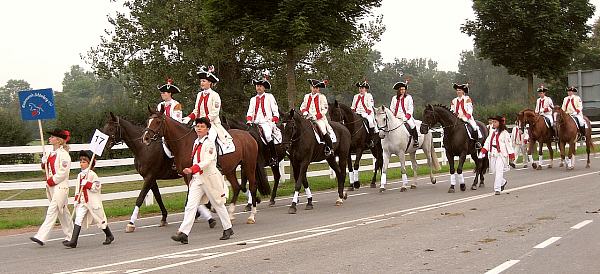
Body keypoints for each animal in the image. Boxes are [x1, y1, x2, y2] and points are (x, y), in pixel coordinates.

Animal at [141, 108, 270, 224]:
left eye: (158, 122)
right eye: (147, 121)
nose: (145, 138)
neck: (184, 143)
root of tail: (247, 134)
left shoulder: (191, 175)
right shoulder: (186, 175)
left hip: (249, 165)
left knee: (252, 186)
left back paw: (251, 216)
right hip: (230, 169)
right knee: (236, 187)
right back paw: (230, 214)